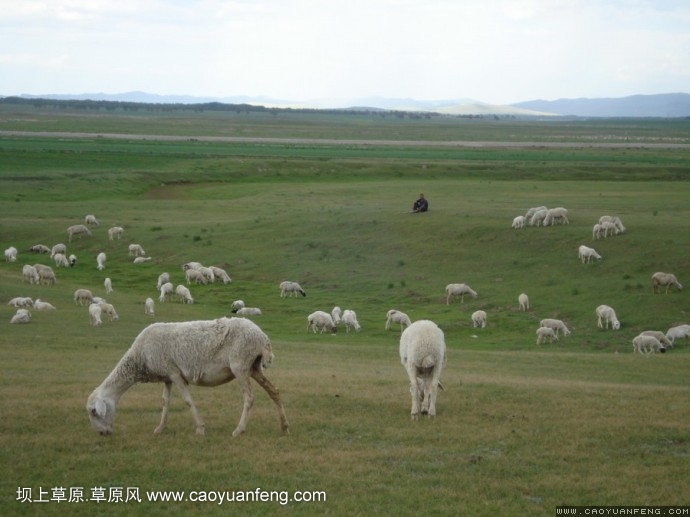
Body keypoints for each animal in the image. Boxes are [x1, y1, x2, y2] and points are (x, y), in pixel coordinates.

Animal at [86, 316, 290, 438]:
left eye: (94, 412)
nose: (102, 434)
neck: (139, 358)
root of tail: (263, 338)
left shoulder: (175, 373)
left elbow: (187, 400)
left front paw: (200, 428)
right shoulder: (166, 375)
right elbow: (165, 402)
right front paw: (160, 428)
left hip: (240, 365)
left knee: (249, 397)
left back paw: (239, 430)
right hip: (253, 367)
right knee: (274, 391)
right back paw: (284, 426)